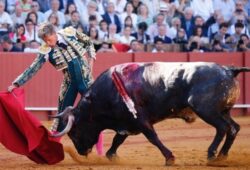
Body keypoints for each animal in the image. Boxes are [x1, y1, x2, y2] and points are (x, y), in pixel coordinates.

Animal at [50, 61, 250, 165]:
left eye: (74, 132)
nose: (82, 152)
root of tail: (228, 70)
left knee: (223, 128)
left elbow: (152, 137)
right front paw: (112, 156)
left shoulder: (139, 119)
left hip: (207, 111)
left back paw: (211, 155)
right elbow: (117, 139)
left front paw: (169, 158)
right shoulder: (127, 123)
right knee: (234, 128)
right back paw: (222, 156)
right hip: (223, 111)